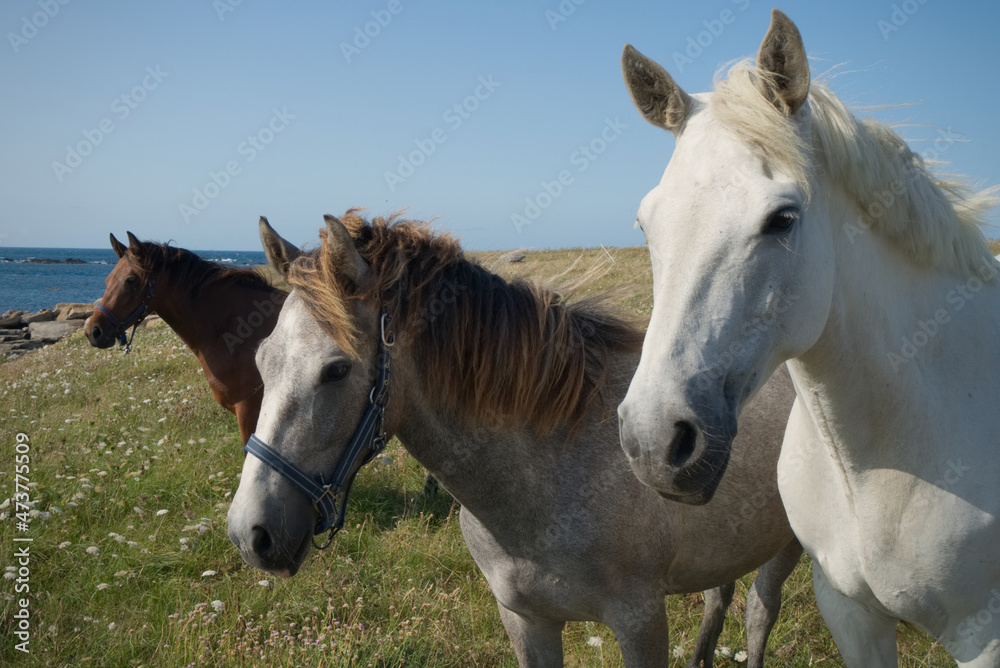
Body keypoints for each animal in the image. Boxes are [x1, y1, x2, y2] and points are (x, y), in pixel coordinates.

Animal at [227, 211, 802, 667]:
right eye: (261, 360)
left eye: (336, 369)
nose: (250, 532)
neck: (550, 473)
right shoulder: (526, 621)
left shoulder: (640, 621)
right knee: (719, 600)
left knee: (758, 614)